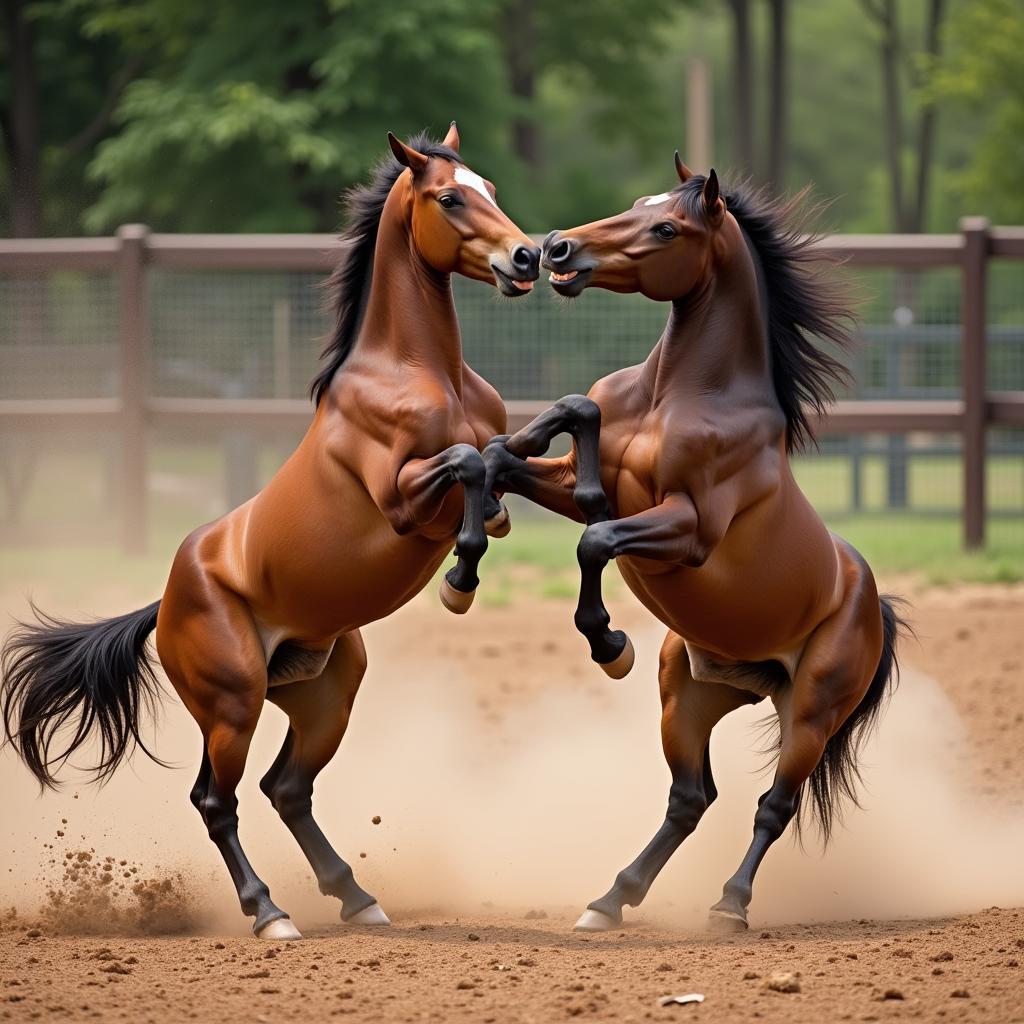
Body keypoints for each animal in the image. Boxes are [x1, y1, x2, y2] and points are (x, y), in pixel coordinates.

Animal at [0, 128, 544, 942]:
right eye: (450, 197)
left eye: (493, 189)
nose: (528, 257)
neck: (422, 373)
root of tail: (164, 602)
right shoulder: (401, 500)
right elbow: (470, 463)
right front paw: (459, 579)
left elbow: (502, 459)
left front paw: (494, 528)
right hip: (233, 704)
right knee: (215, 800)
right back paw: (269, 914)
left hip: (327, 693)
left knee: (286, 787)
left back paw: (357, 897)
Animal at [483, 155, 909, 933]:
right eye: (634, 202)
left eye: (666, 228)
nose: (558, 249)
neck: (675, 396)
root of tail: (871, 601)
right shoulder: (586, 479)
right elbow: (564, 430)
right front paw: (491, 497)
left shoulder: (689, 529)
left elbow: (596, 539)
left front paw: (607, 643)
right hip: (687, 691)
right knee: (691, 798)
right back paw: (609, 900)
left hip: (811, 710)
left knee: (773, 805)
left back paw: (729, 906)